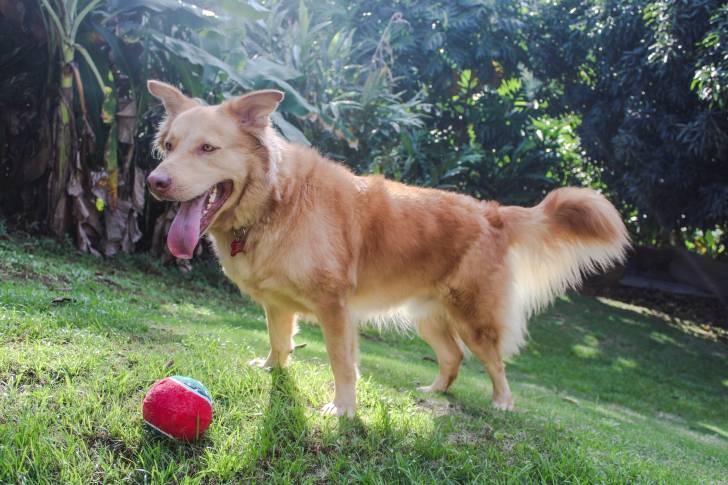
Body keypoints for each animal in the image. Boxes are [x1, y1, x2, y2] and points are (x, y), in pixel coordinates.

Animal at [145, 79, 628, 416]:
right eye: (168, 146)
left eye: (208, 148)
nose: (154, 182)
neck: (275, 202)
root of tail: (490, 212)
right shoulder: (278, 304)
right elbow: (279, 342)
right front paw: (271, 369)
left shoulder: (334, 306)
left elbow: (341, 361)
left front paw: (342, 409)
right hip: (430, 317)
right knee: (453, 357)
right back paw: (434, 392)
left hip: (474, 318)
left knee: (495, 363)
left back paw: (502, 403)